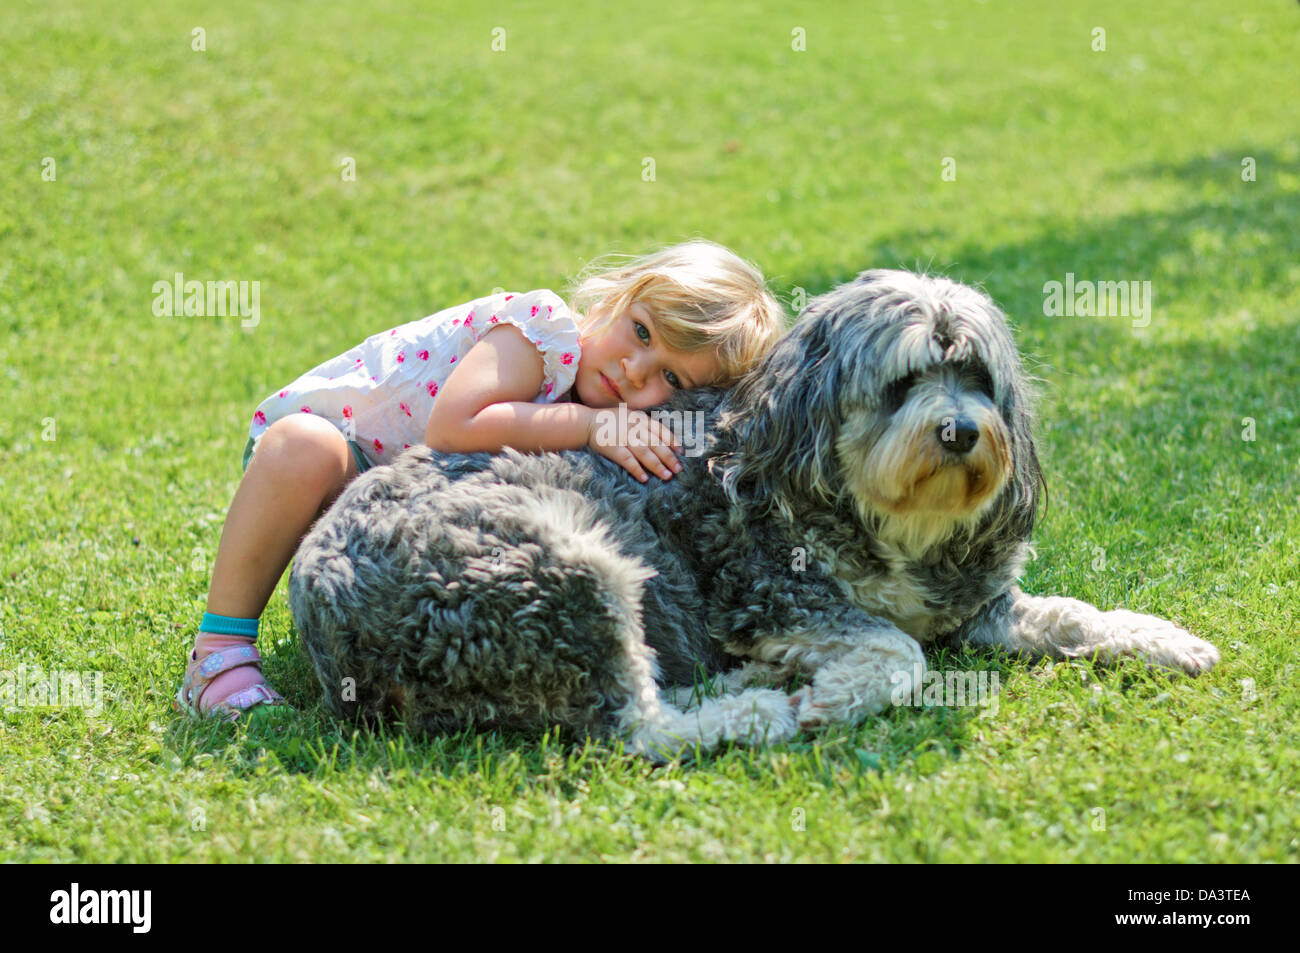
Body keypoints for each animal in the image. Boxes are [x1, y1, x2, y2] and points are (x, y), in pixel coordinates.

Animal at [287, 267, 1216, 759]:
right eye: (905, 380)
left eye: (977, 376)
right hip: (562, 571)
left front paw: (1161, 637)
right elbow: (900, 648)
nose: (960, 431)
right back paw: (756, 705)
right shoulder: (768, 594)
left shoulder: (977, 603)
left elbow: (1071, 615)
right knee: (638, 727)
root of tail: (320, 597)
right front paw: (835, 697)